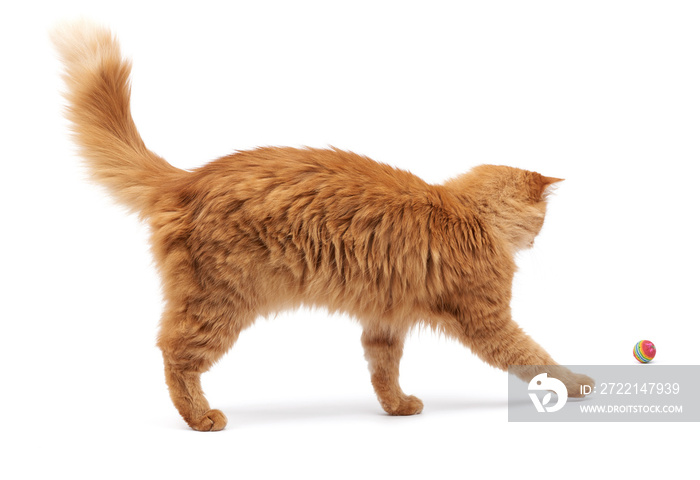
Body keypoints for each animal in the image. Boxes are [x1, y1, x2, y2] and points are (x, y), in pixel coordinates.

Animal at [52, 21, 592, 432]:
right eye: (543, 221)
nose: (540, 238)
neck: (467, 212)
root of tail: (189, 178)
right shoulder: (487, 319)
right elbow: (534, 355)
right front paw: (576, 383)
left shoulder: (384, 320)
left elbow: (383, 371)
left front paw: (397, 408)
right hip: (219, 303)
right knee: (174, 353)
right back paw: (202, 417)